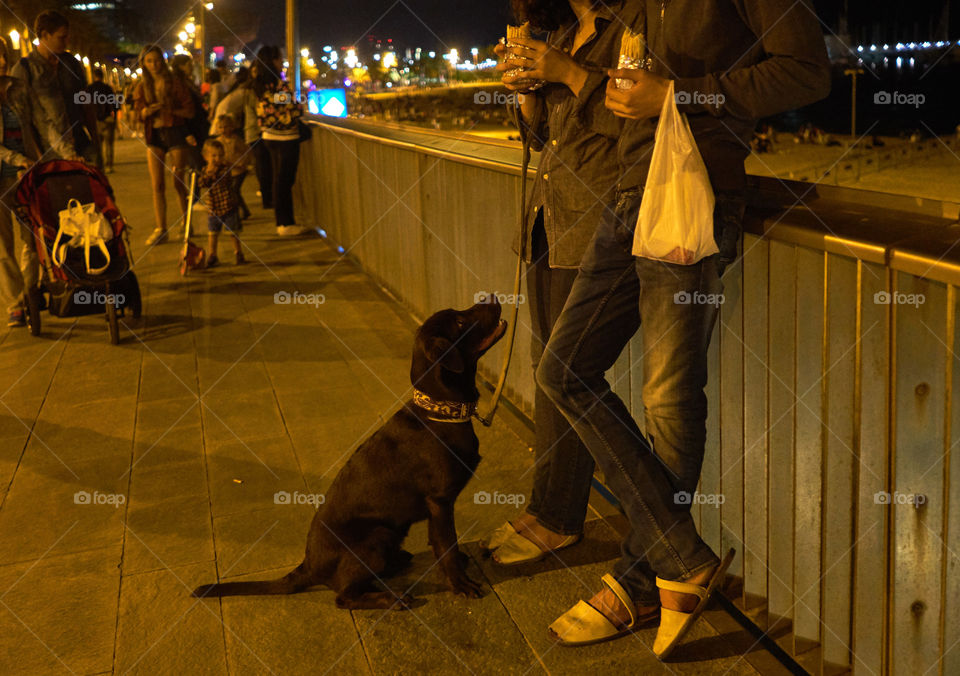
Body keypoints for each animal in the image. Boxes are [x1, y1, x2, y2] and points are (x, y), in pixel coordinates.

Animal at [194, 298, 510, 608]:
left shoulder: (437, 508)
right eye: (460, 321)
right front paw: (461, 584)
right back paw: (392, 598)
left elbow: (440, 544)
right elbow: (447, 545)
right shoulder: (440, 501)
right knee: (344, 596)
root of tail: (309, 567)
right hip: (378, 535)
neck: (440, 412)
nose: (494, 297)